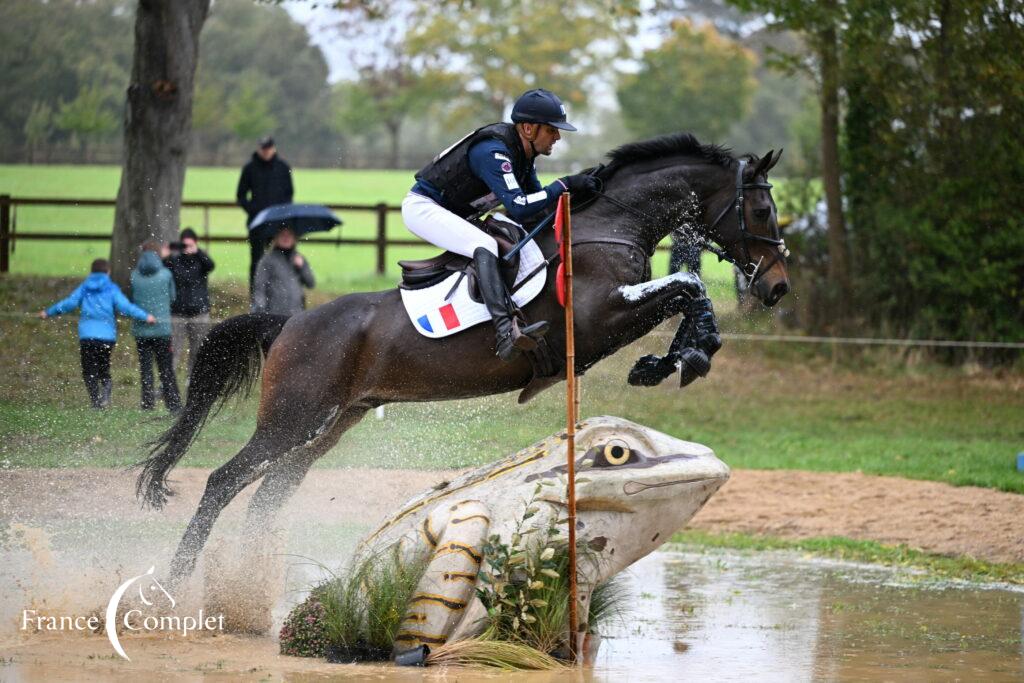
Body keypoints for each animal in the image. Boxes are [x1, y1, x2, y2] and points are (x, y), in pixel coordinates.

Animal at [138, 133, 790, 589]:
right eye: (761, 212)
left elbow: (687, 293)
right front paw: (683, 356)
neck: (610, 226)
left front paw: (678, 357)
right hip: (291, 417)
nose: (777, 286)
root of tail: (290, 322)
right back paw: (179, 579)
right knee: (224, 482)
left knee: (269, 493)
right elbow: (689, 286)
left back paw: (246, 587)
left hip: (332, 422)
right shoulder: (600, 318)